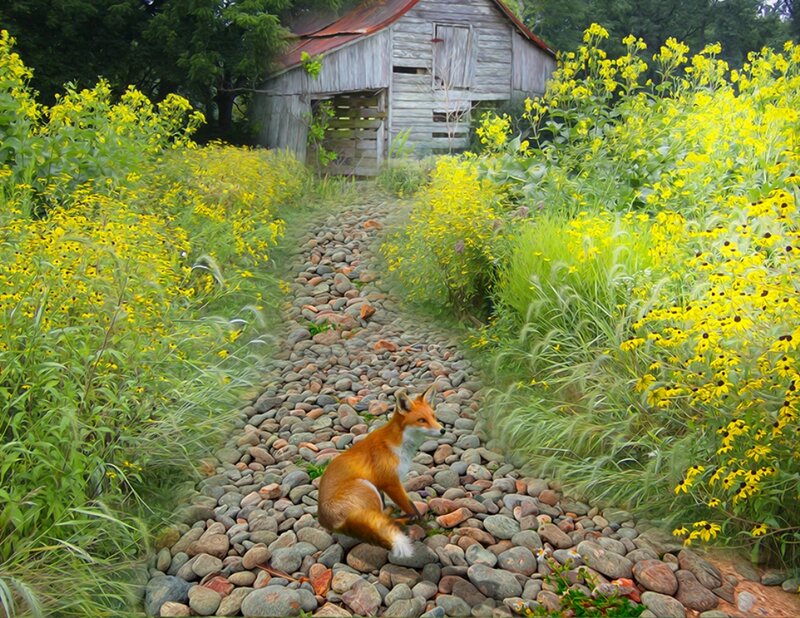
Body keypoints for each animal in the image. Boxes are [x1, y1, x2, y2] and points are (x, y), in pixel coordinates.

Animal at [317, 384, 444, 558]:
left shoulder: (393, 483)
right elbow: (410, 508)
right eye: (421, 420)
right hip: (367, 486)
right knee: (384, 521)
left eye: (433, 417)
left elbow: (410, 504)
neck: (398, 445)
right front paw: (422, 523)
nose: (443, 430)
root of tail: (327, 521)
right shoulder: (390, 483)